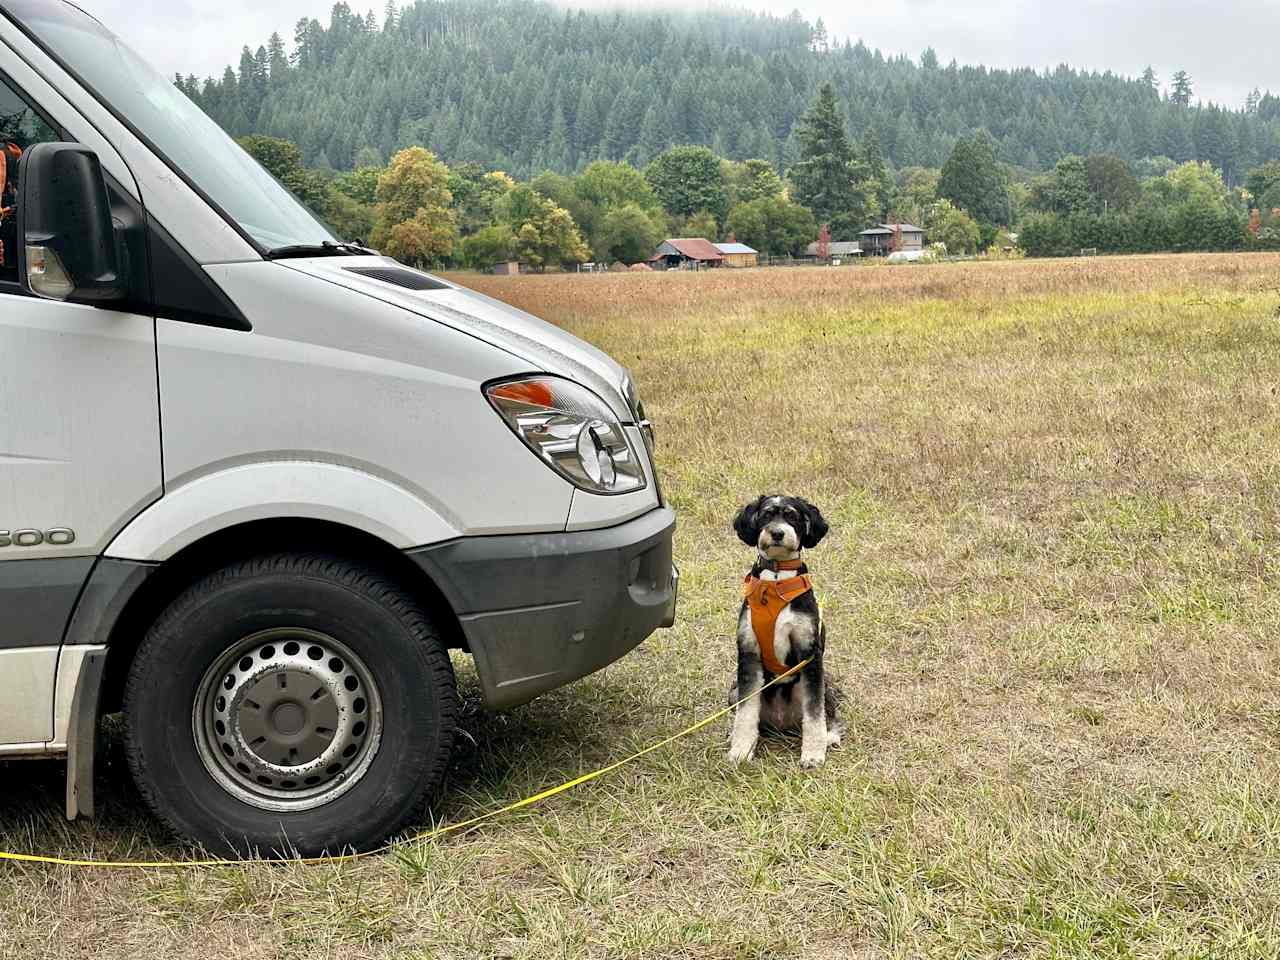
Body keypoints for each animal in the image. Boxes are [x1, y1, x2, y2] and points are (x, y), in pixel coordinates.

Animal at [732, 496, 839, 768]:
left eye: (792, 516)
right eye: (766, 515)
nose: (778, 533)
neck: (777, 579)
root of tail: (782, 722)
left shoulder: (809, 653)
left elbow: (814, 712)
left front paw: (813, 754)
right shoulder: (749, 654)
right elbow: (745, 711)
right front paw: (741, 749)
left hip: (824, 684)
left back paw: (829, 736)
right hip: (733, 689)